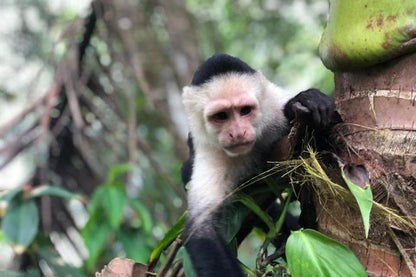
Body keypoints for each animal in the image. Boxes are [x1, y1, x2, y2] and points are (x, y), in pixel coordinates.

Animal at [181, 54, 334, 276]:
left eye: (245, 110)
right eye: (221, 116)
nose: (237, 133)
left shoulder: (272, 109)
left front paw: (306, 101)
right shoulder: (209, 150)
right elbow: (201, 230)